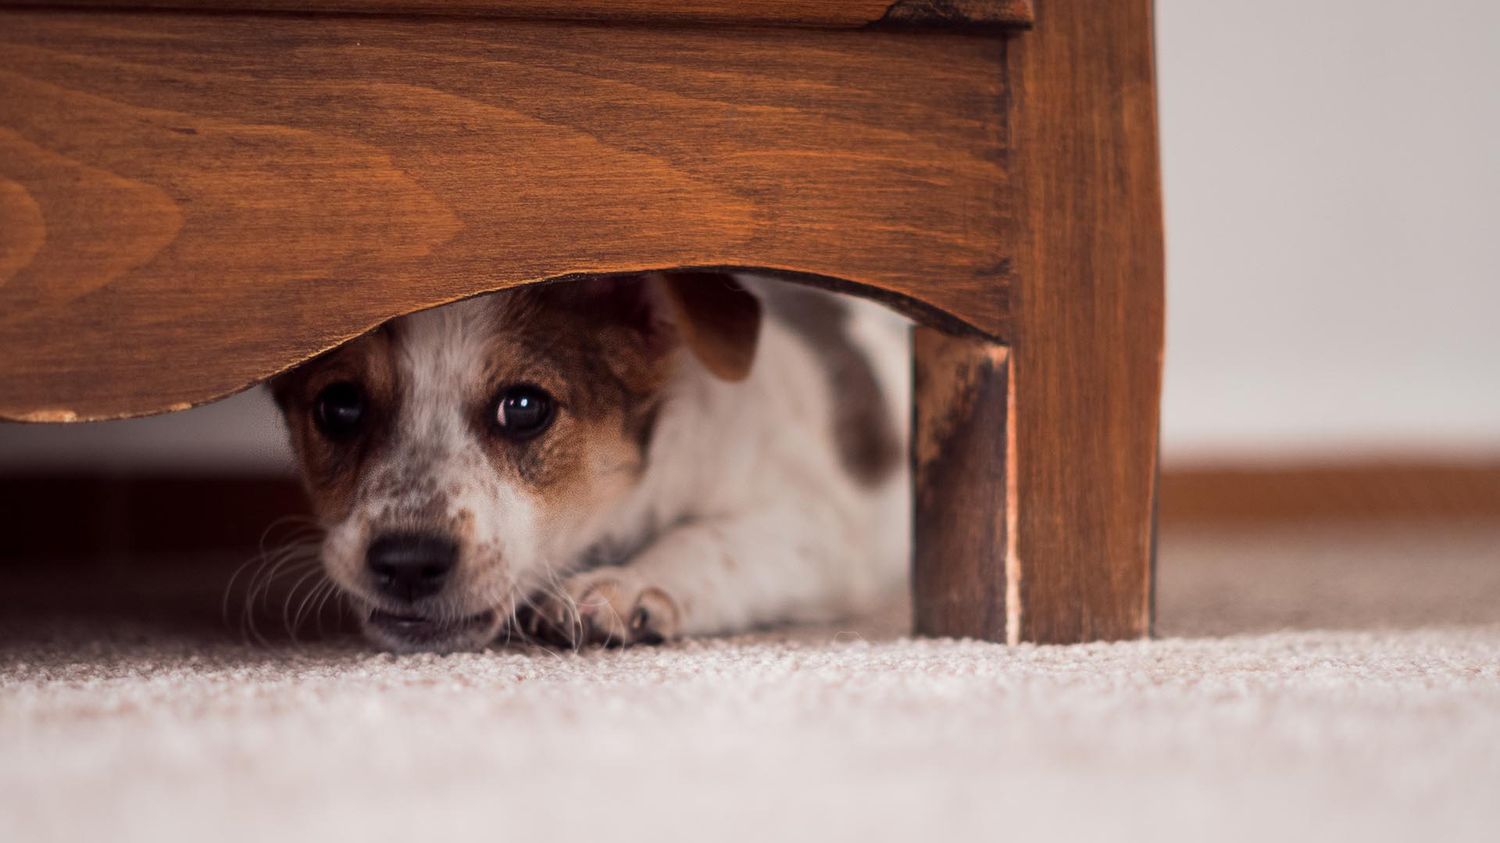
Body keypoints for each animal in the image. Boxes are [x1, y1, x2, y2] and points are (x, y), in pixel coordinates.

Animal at [276, 270, 912, 651]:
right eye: (339, 406)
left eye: (525, 408)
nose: (408, 563)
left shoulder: (816, 528)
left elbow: (710, 538)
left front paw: (627, 585)